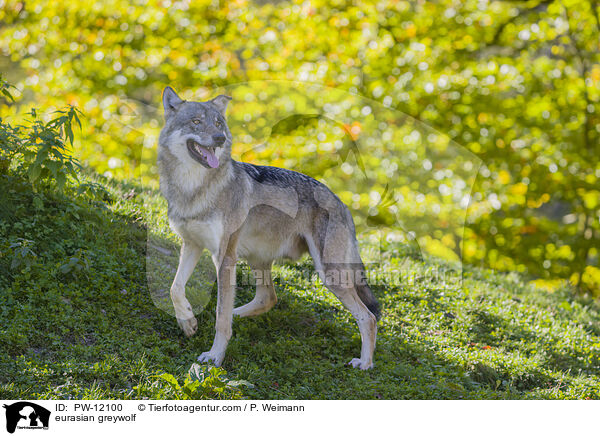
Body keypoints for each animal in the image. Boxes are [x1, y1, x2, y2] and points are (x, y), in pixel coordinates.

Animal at [156, 87, 380, 370]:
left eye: (218, 124)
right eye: (196, 121)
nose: (220, 138)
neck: (193, 190)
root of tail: (342, 203)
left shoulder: (224, 258)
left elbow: (220, 317)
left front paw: (215, 356)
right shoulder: (192, 245)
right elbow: (175, 288)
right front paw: (188, 322)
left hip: (329, 274)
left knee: (368, 317)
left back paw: (366, 363)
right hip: (257, 258)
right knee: (268, 298)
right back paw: (237, 313)